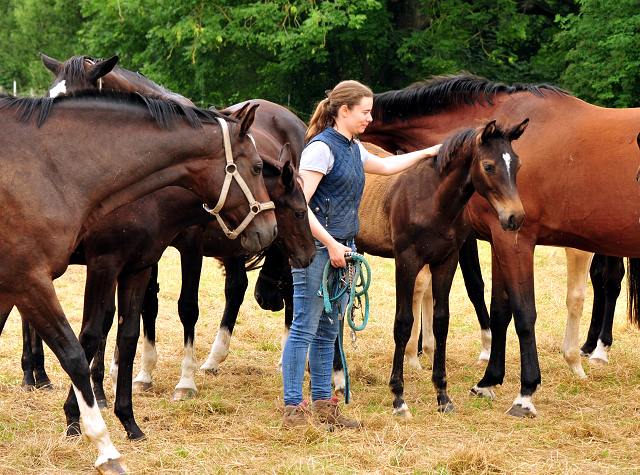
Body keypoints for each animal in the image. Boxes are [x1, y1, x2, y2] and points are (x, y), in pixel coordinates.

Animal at [0, 90, 276, 475]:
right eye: (257, 167)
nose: (269, 229)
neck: (49, 167)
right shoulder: (45, 276)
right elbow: (79, 347)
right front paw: (97, 440)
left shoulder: (135, 267)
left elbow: (125, 335)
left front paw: (127, 420)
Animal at [360, 73, 640, 416]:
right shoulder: (499, 237)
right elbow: (500, 308)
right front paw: (489, 380)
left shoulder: (515, 239)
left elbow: (523, 312)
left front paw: (525, 393)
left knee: (607, 282)